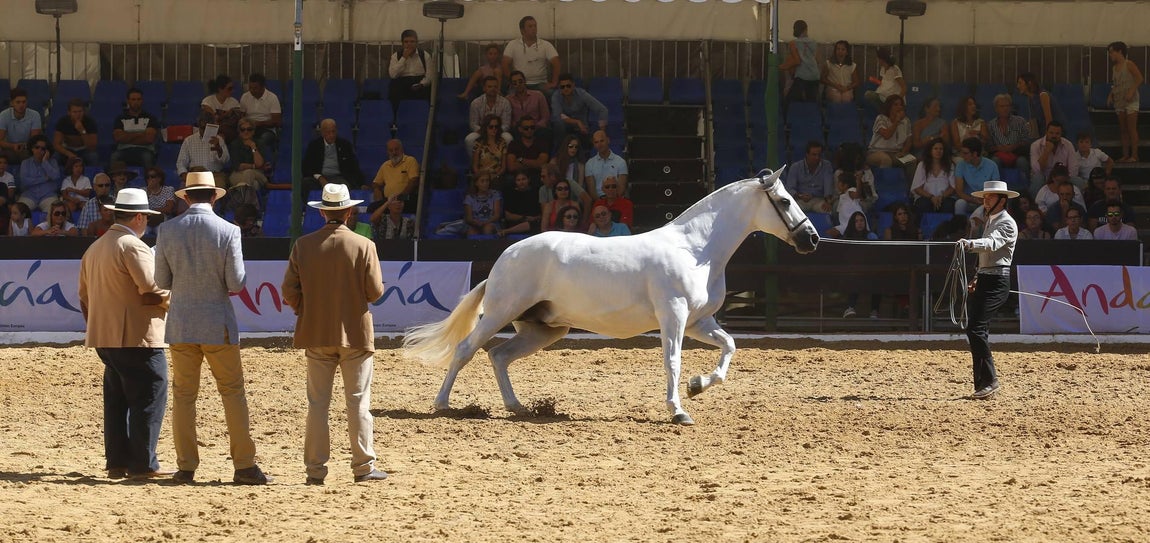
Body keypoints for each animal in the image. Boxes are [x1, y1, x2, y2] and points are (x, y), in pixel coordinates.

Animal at [403, 167, 819, 425]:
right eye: (784, 202)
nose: (811, 239)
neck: (695, 248)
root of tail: (508, 256)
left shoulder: (699, 321)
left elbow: (729, 346)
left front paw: (698, 386)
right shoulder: (673, 315)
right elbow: (672, 362)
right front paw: (679, 411)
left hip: (544, 329)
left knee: (499, 356)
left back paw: (517, 406)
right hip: (500, 312)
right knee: (466, 349)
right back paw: (442, 405)